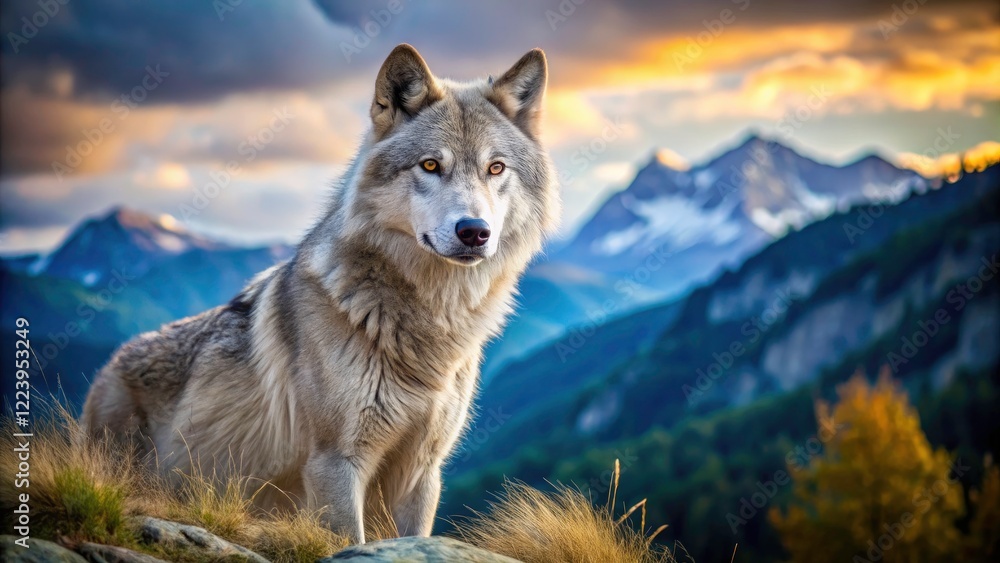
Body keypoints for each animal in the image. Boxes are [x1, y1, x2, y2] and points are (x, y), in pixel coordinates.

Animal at [81, 44, 559, 543]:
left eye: (495, 168)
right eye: (430, 165)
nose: (474, 232)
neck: (427, 319)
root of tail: (110, 364)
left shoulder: (422, 474)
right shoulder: (336, 462)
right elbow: (349, 539)